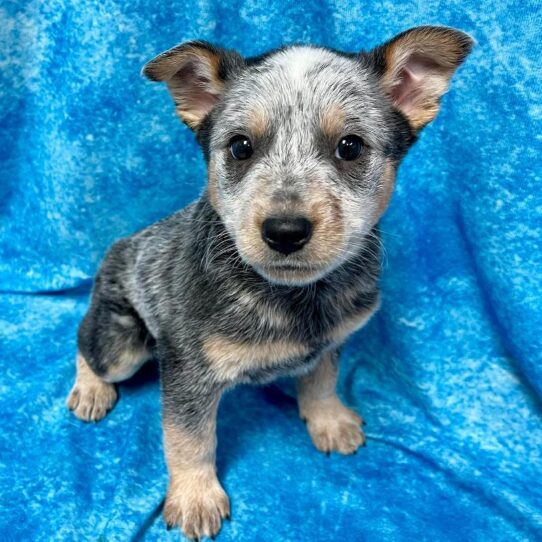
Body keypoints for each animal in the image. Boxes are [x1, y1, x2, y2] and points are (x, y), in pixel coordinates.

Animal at [68, 24, 474, 540]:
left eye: (350, 146)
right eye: (241, 147)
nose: (284, 230)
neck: (295, 298)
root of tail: (118, 248)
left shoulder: (331, 341)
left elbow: (322, 380)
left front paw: (328, 420)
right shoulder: (187, 371)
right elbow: (189, 438)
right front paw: (196, 496)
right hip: (123, 342)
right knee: (85, 341)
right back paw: (91, 390)